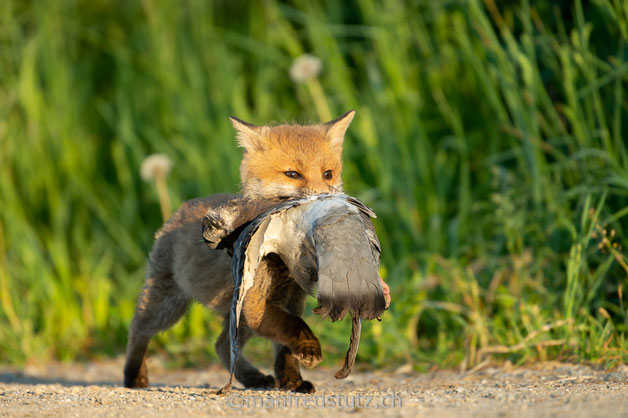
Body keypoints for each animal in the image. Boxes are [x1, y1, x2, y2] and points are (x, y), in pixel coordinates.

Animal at [125, 111, 356, 392]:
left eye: (328, 174)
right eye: (293, 174)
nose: (325, 201)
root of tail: (182, 207)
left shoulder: (290, 299)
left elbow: (284, 350)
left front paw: (292, 381)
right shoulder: (257, 304)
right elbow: (293, 326)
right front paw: (309, 349)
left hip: (235, 318)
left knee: (221, 346)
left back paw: (254, 378)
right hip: (168, 307)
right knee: (138, 329)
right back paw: (133, 376)